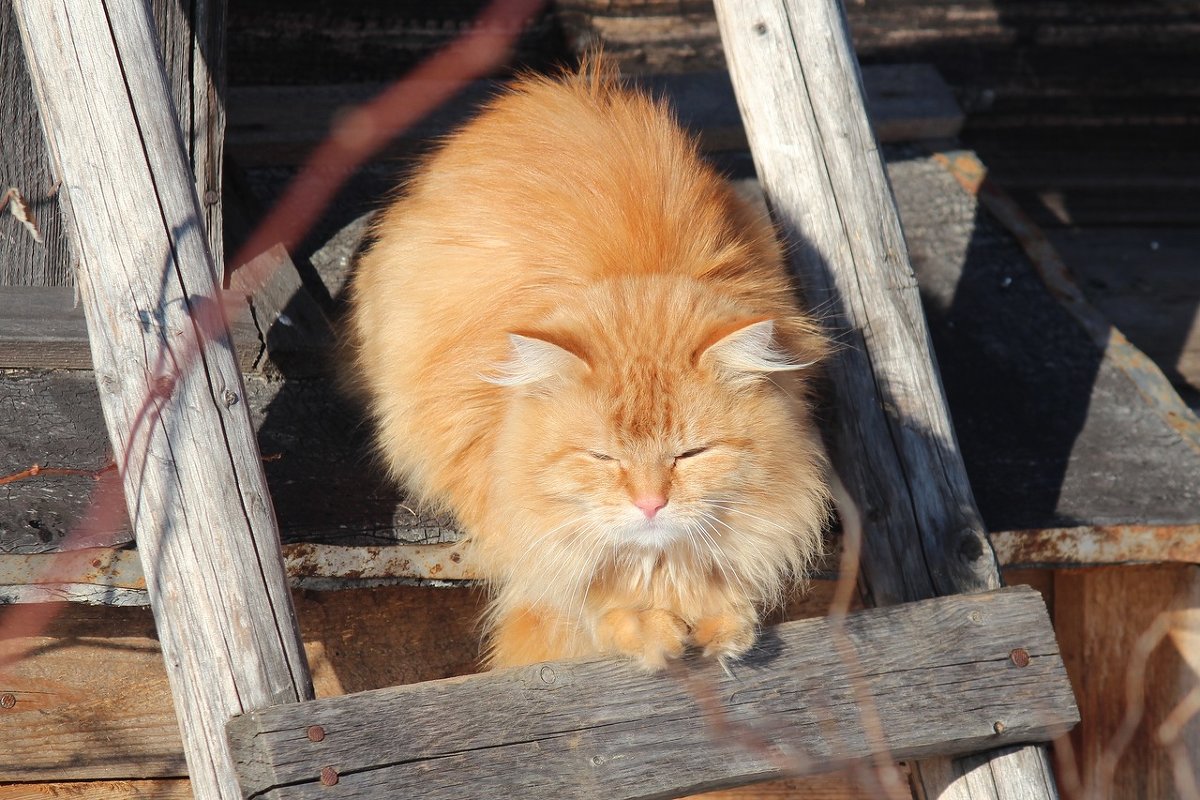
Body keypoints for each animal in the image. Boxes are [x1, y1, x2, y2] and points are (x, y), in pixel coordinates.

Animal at [348, 57, 830, 671]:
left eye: (690, 455)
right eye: (602, 457)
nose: (650, 504)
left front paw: (721, 617)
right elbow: (583, 587)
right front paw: (643, 624)